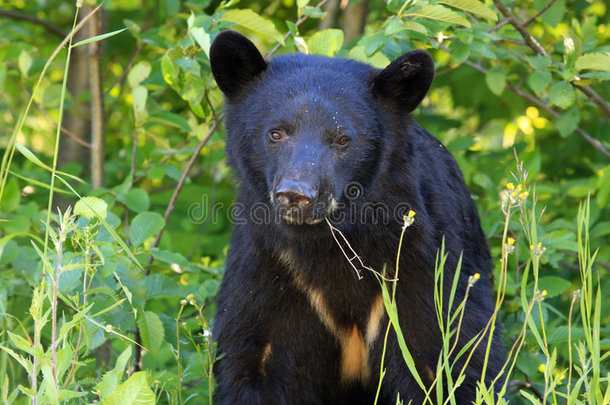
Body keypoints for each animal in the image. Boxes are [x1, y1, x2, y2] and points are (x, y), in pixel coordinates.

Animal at [209, 30, 504, 402]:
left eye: (342, 139)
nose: (296, 194)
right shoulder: (269, 269)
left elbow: (448, 360)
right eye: (275, 133)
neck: (330, 244)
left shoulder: (422, 267)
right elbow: (253, 361)